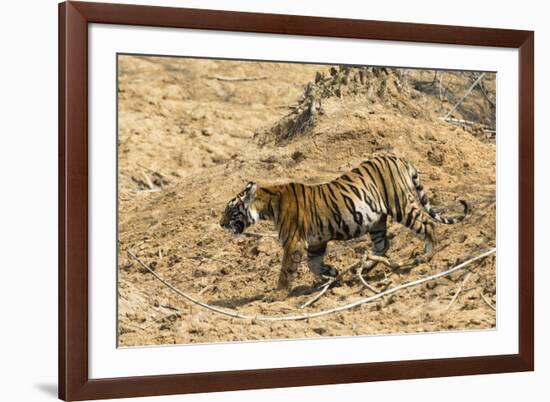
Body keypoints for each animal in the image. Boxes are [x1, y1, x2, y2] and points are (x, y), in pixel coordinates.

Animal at [220, 154, 470, 296]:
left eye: (231, 209)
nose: (220, 223)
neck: (268, 204)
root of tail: (400, 158)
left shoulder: (293, 242)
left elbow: (286, 270)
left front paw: (277, 296)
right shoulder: (315, 242)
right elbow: (313, 265)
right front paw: (332, 272)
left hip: (401, 205)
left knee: (427, 225)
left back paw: (426, 255)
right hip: (376, 221)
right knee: (383, 245)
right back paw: (366, 267)